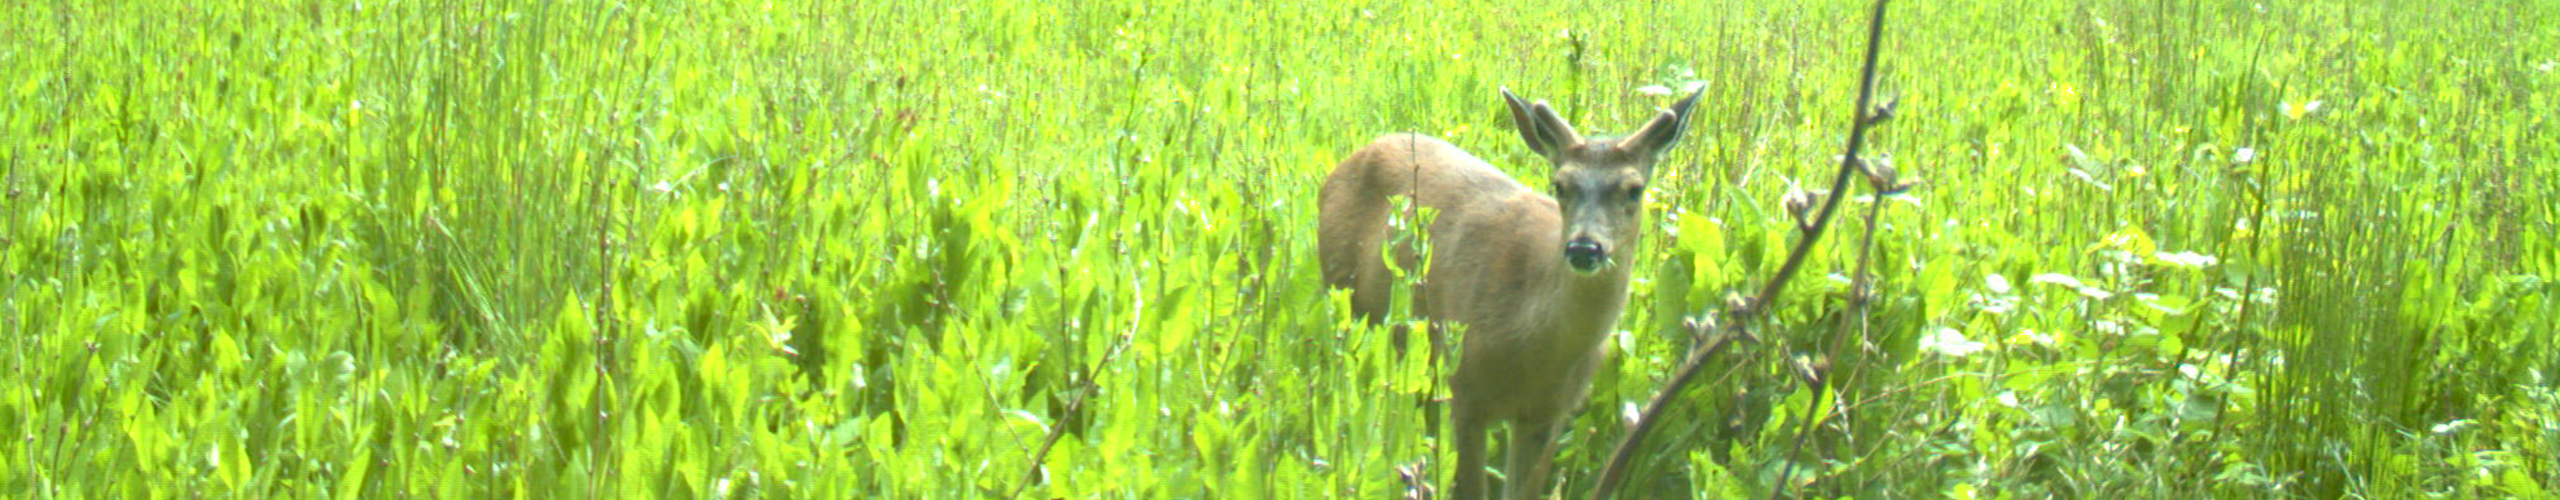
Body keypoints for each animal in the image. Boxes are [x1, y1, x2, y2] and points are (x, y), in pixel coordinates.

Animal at [1320, 87, 1699, 500]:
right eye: (1560, 184)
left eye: (1634, 189)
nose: (1584, 248)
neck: (1531, 344)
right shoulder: (1465, 389)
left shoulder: (1547, 413)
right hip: (1344, 297)